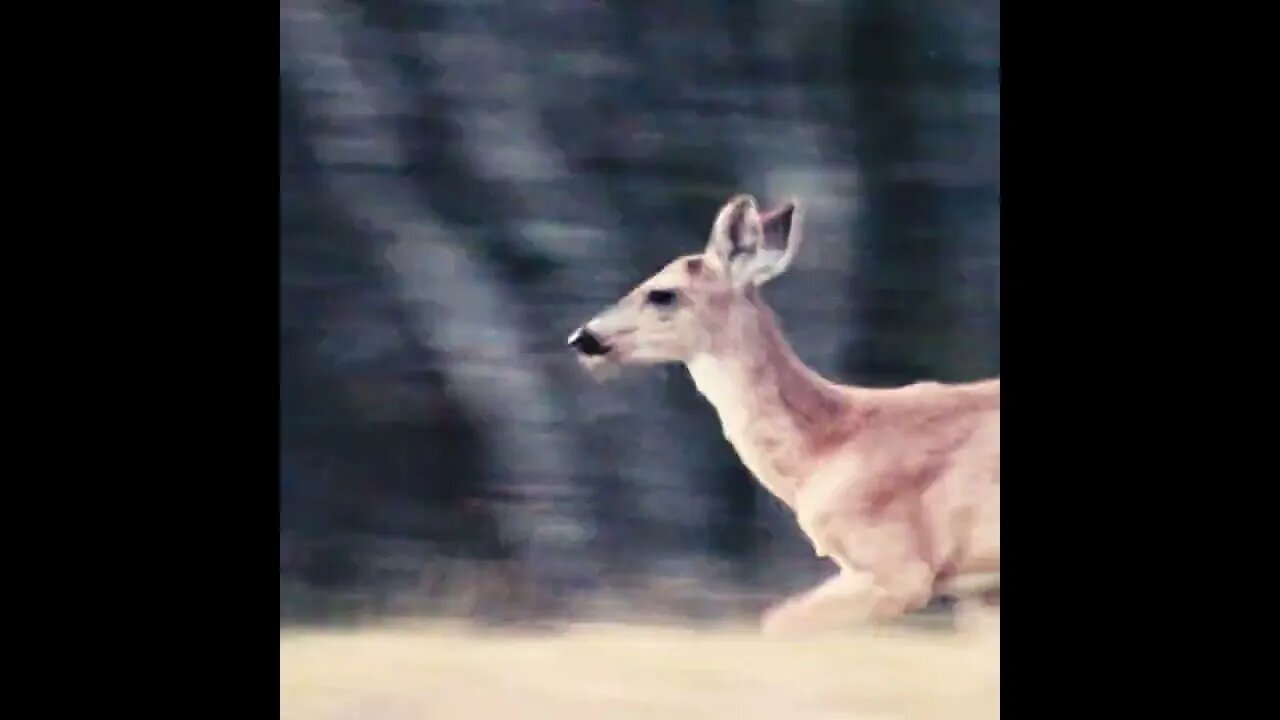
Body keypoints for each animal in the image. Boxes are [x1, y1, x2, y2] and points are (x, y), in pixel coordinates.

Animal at [565, 194, 999, 635]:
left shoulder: (899, 566)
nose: (583, 338)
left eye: (662, 294)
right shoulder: (977, 591)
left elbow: (775, 622)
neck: (826, 447)